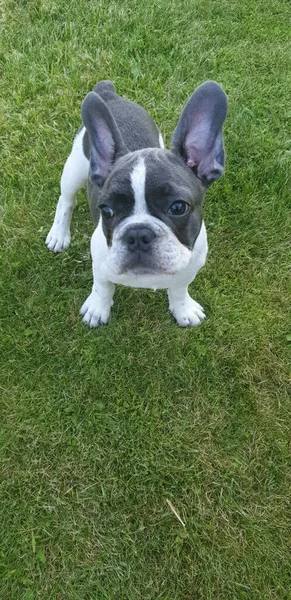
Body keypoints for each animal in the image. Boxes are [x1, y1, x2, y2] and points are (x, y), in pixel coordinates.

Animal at [46, 80, 228, 328]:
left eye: (178, 207)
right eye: (106, 210)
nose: (138, 234)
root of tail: (109, 93)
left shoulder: (189, 269)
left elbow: (179, 290)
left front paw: (182, 309)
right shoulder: (100, 264)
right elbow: (102, 287)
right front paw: (98, 309)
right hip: (74, 169)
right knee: (66, 200)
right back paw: (59, 234)